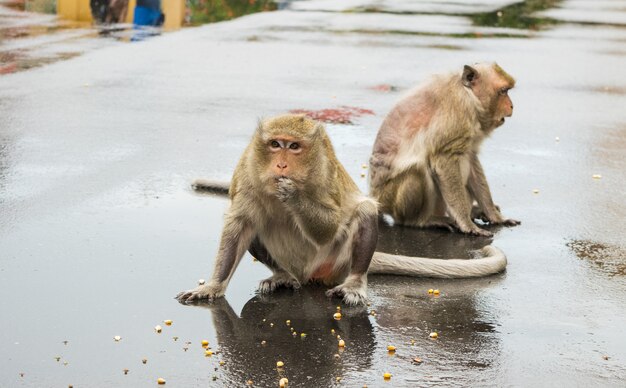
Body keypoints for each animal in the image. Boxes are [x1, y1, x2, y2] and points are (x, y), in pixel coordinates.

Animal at [177, 113, 508, 306]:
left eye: (293, 147)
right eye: (275, 144)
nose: (281, 165)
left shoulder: (325, 171)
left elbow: (329, 226)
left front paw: (293, 194)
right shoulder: (246, 171)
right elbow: (241, 224)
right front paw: (212, 286)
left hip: (335, 263)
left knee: (363, 212)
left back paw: (354, 284)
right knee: (258, 228)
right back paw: (284, 275)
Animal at [368, 62, 520, 238]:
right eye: (503, 91)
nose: (511, 105)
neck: (468, 96)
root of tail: (375, 197)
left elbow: (471, 158)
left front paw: (494, 215)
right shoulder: (457, 118)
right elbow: (444, 160)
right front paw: (467, 224)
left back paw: (473, 211)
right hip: (390, 199)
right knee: (417, 170)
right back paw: (421, 221)